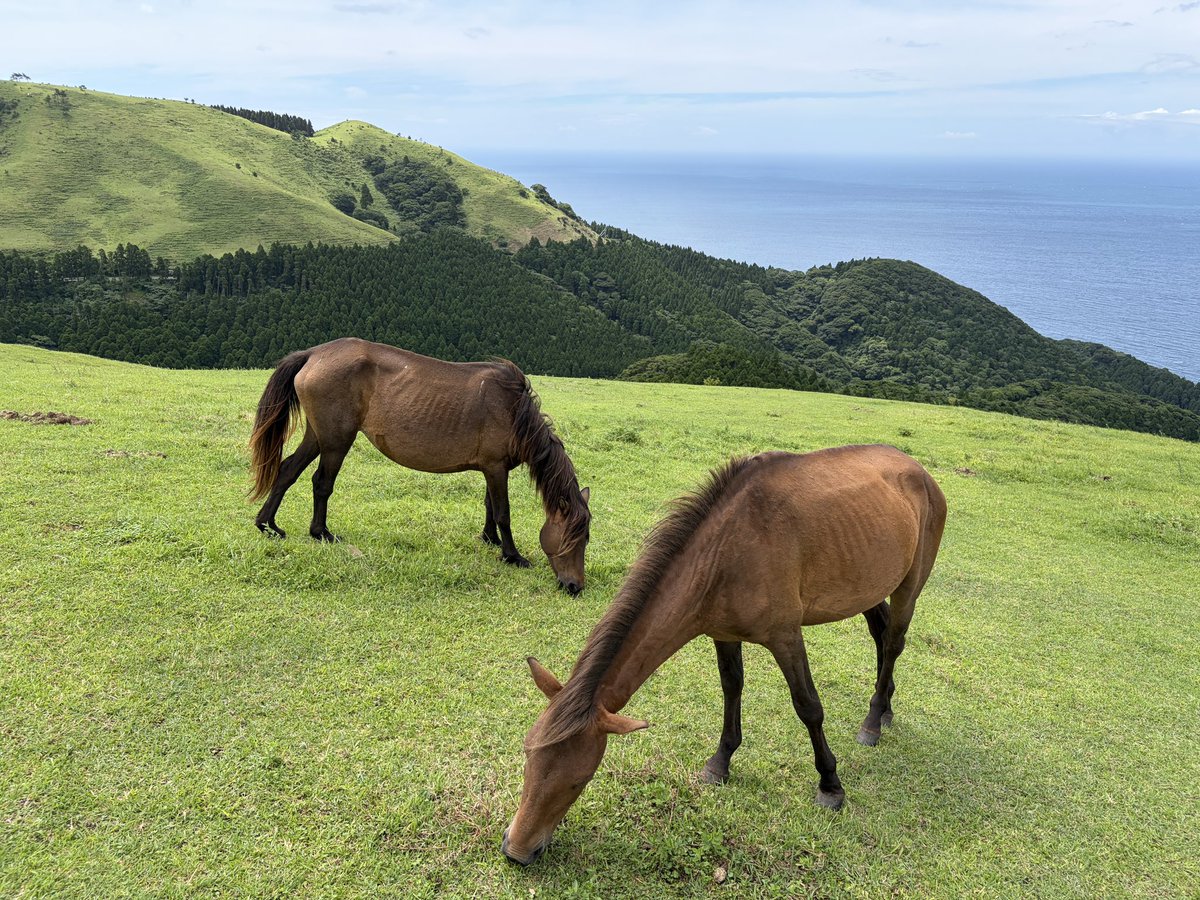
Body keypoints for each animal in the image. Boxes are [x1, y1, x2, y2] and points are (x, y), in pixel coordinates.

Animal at [248, 338, 592, 594]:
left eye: (586, 538)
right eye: (575, 537)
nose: (574, 586)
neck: (512, 410)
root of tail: (314, 354)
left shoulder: (491, 468)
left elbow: (489, 507)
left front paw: (489, 539)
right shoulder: (496, 468)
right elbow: (503, 513)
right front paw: (512, 555)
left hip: (318, 435)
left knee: (287, 470)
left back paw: (268, 524)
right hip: (336, 440)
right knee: (322, 482)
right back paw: (321, 533)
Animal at [502, 445, 947, 864]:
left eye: (579, 780)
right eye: (527, 756)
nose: (517, 851)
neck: (727, 551)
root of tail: (918, 471)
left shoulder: (786, 637)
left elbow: (808, 707)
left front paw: (830, 785)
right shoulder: (723, 634)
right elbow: (732, 688)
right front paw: (721, 762)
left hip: (909, 585)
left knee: (893, 642)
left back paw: (873, 720)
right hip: (866, 585)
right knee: (880, 634)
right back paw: (885, 710)